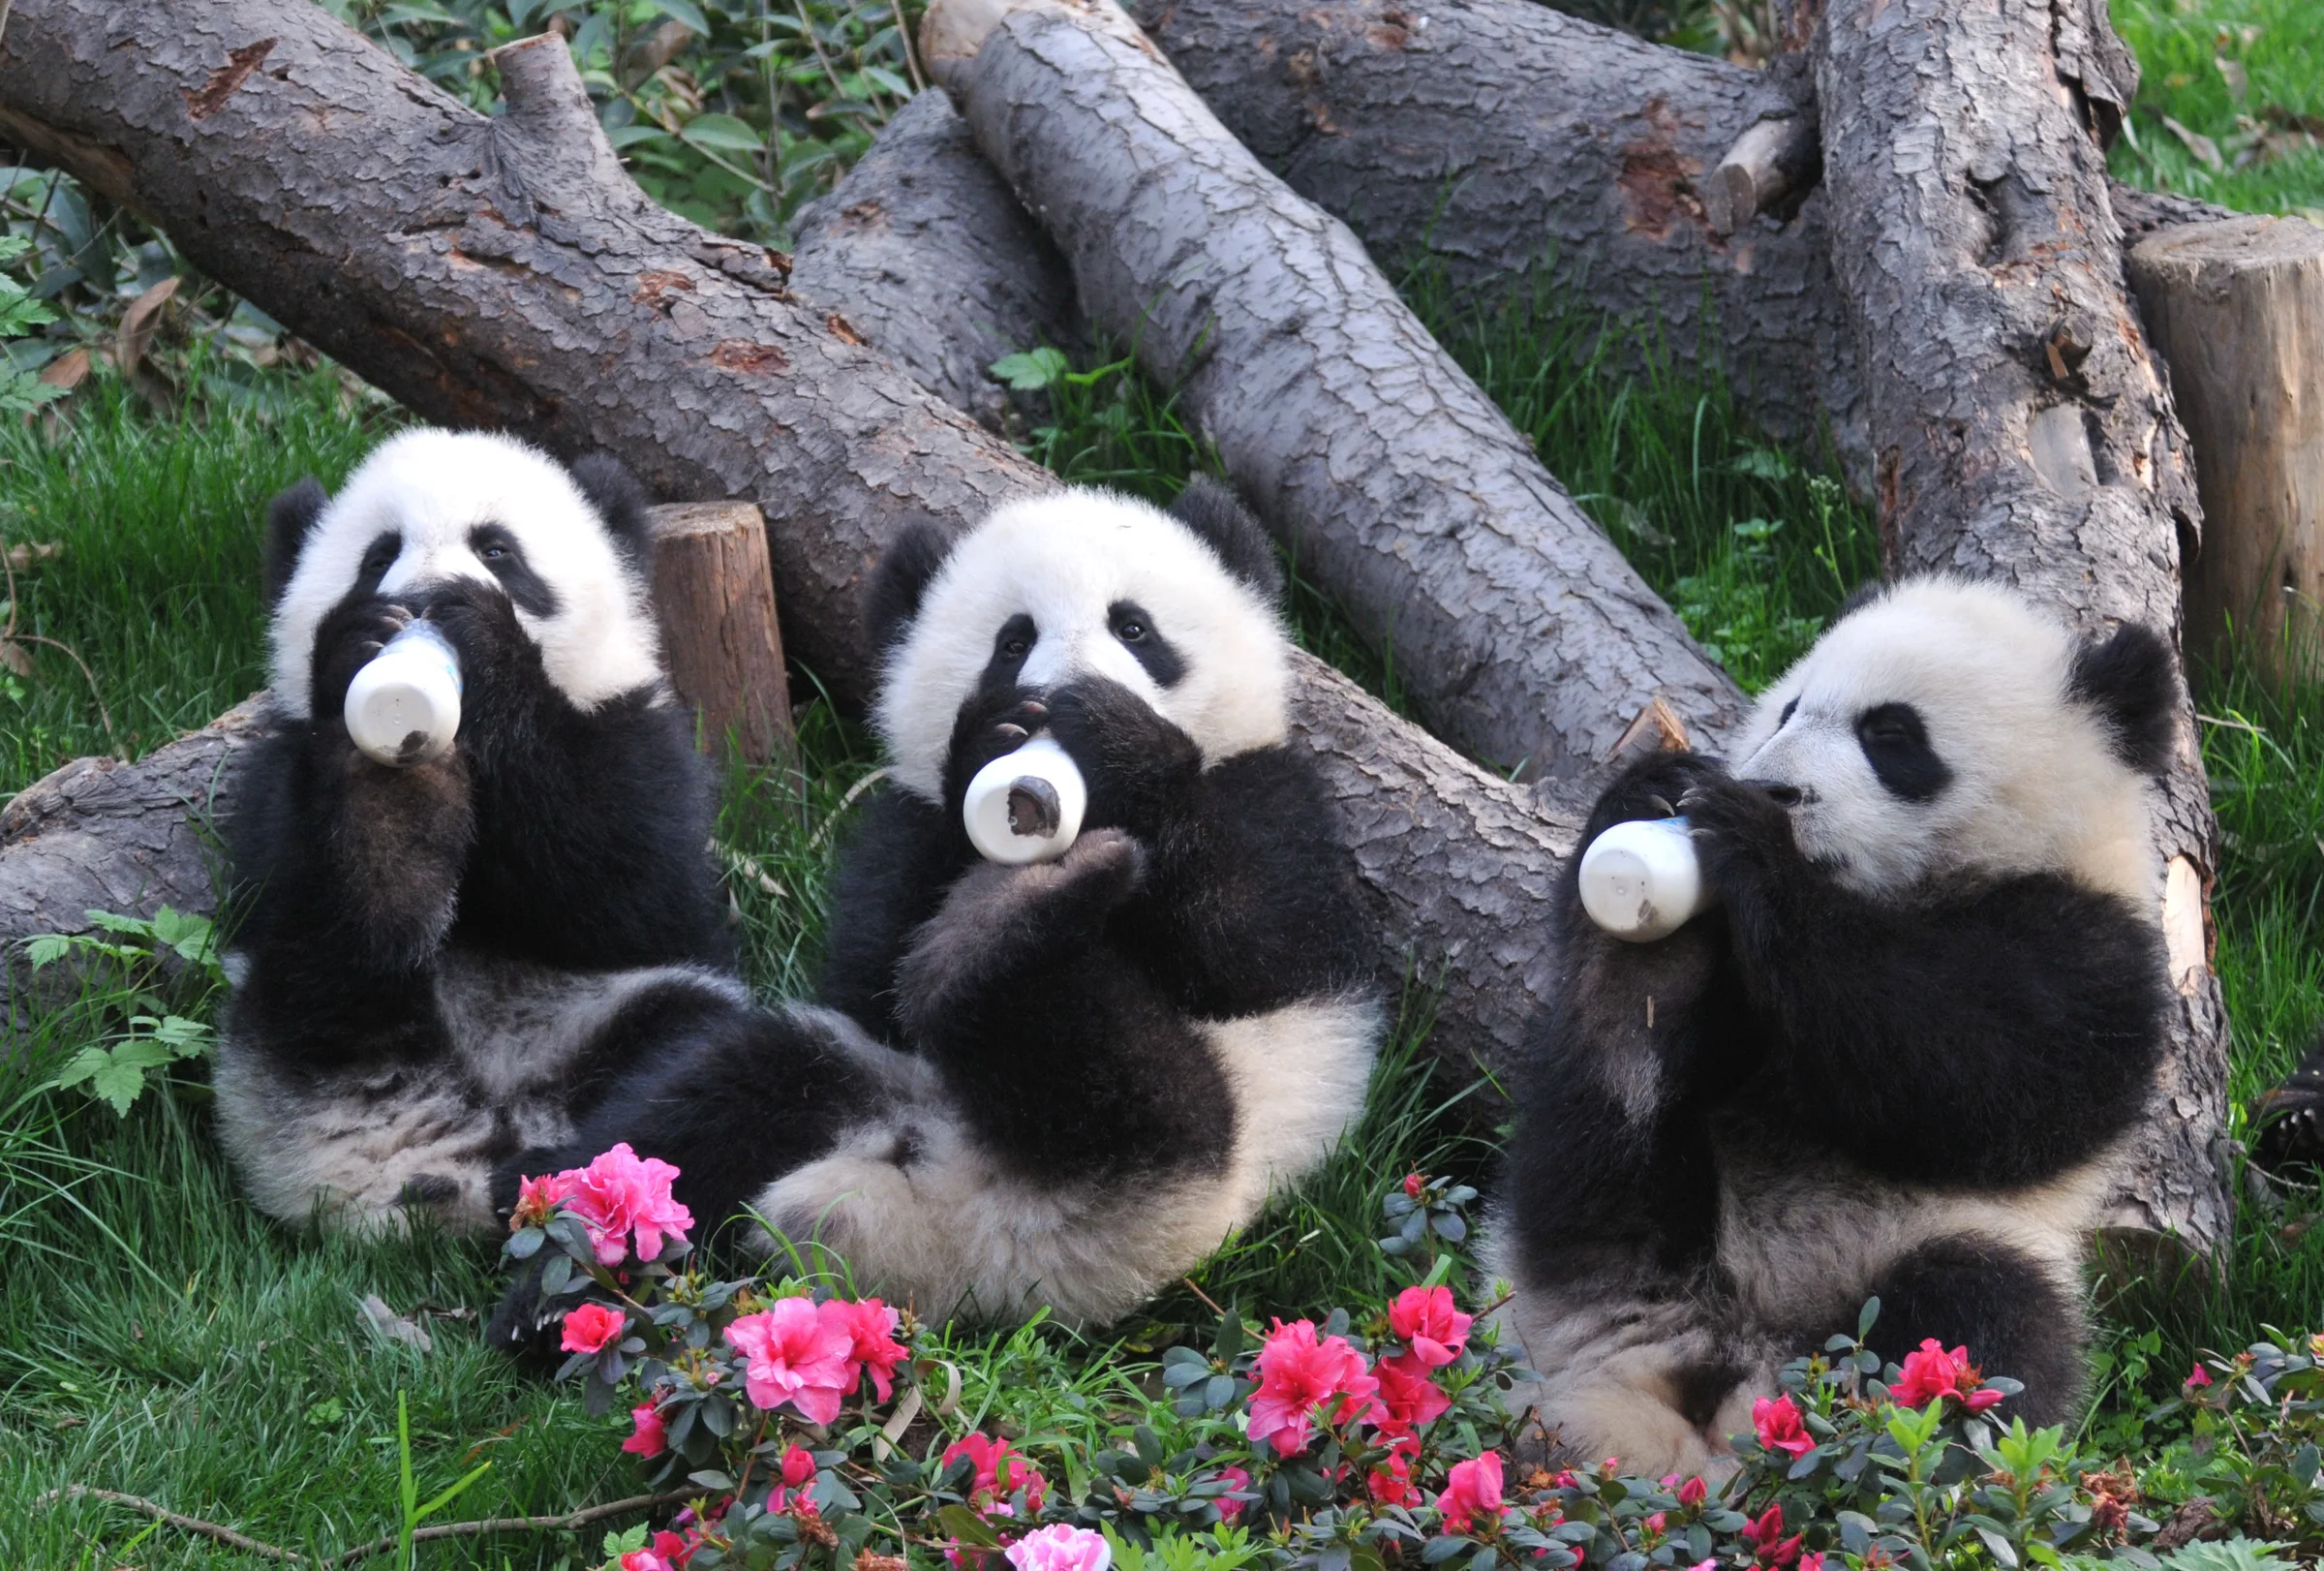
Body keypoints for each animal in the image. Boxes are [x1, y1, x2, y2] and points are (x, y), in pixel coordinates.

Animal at [215, 427, 760, 1235]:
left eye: (497, 550)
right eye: (377, 556)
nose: (420, 600)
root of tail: (472, 1142)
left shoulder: (639, 737)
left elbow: (633, 892)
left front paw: (483, 642)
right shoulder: (273, 776)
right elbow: (285, 897)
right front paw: (387, 784)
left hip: (601, 1017)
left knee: (693, 1037)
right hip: (279, 1062)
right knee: (319, 990)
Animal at [497, 479, 1383, 1329]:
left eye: (1134, 628)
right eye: (1013, 641)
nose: (1057, 691)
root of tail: (988, 1242)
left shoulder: (1274, 794)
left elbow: (1252, 947)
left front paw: (1117, 741)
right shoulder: (905, 823)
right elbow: (875, 972)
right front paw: (991, 742)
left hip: (1211, 1157)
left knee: (1115, 1077)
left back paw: (999, 937)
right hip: (869, 1077)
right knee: (717, 1092)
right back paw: (557, 1273)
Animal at [1487, 577, 2178, 1476]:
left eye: (1892, 734)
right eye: (1790, 709)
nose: (1778, 790)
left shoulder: (2099, 957)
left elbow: (1975, 1069)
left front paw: (1757, 847)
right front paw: (1651, 796)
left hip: (1946, 1251)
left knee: (1980, 1320)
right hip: (1591, 1237)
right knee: (1595, 1155)